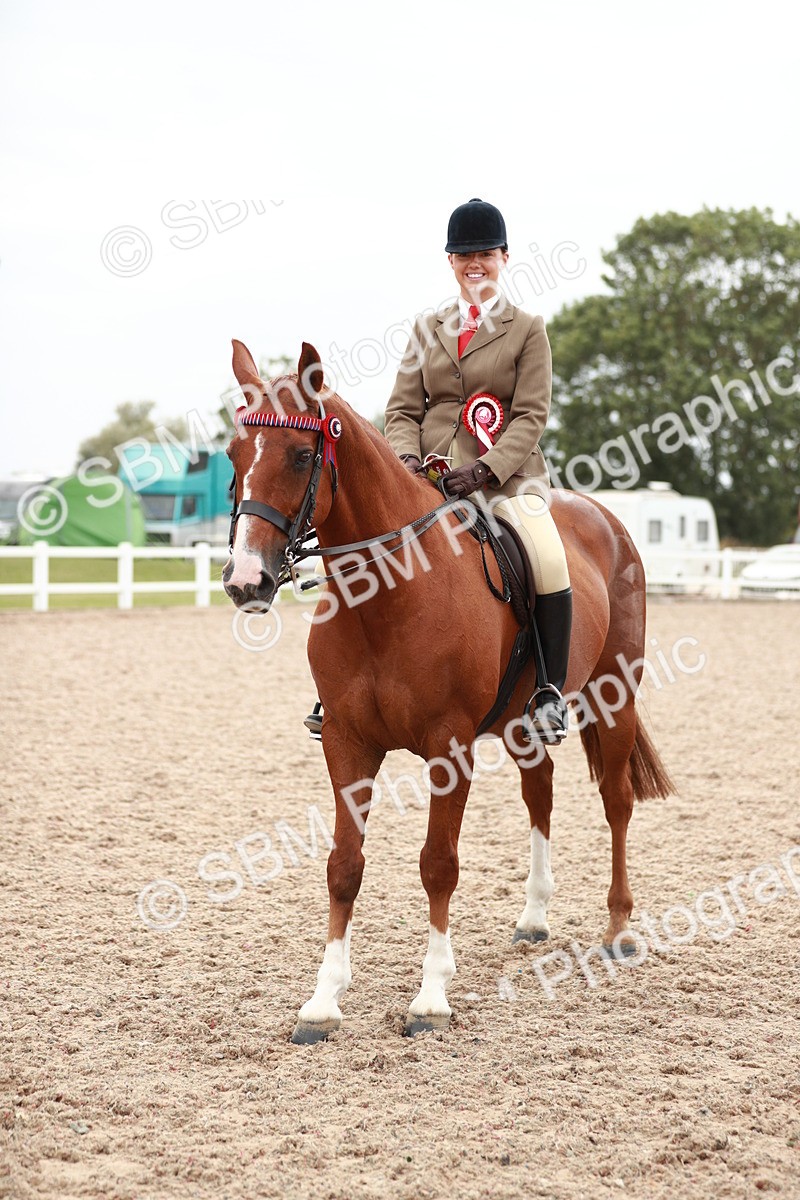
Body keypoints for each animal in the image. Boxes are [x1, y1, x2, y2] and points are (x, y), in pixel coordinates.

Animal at [223, 339, 674, 1044]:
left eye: (300, 454)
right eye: (231, 455)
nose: (246, 581)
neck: (387, 597)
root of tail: (601, 515)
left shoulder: (448, 746)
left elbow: (438, 863)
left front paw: (430, 997)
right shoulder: (347, 742)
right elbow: (343, 865)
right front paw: (323, 1002)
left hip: (616, 693)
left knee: (617, 802)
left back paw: (619, 929)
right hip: (523, 721)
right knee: (540, 795)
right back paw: (534, 918)